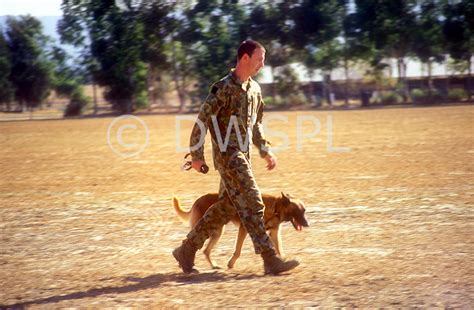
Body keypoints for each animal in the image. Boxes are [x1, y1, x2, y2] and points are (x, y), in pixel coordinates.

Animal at [172, 191, 310, 268]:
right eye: (298, 211)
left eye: (304, 211)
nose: (307, 224)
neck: (275, 207)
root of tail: (197, 200)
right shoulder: (245, 229)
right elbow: (238, 250)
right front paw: (231, 263)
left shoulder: (274, 234)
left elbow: (279, 249)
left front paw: (283, 261)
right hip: (212, 229)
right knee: (192, 241)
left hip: (217, 233)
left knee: (205, 250)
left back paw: (212, 265)